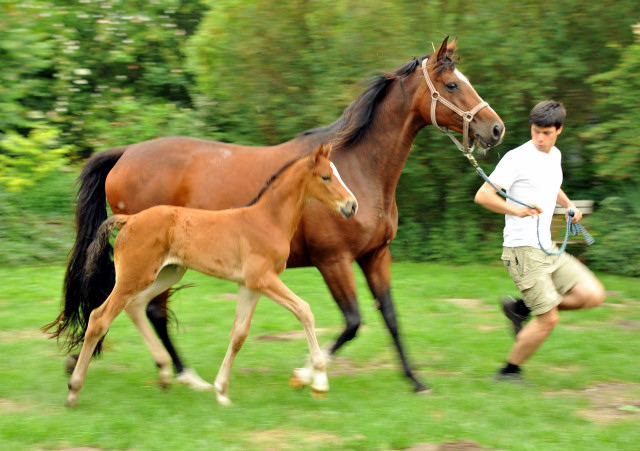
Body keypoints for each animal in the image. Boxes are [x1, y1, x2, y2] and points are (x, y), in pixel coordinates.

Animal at [67, 143, 358, 408]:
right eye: (326, 177)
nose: (352, 206)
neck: (267, 220)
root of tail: (130, 219)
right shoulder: (263, 279)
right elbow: (304, 310)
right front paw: (319, 382)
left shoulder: (249, 286)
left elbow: (238, 335)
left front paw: (221, 391)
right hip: (134, 276)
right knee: (100, 317)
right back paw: (74, 389)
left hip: (166, 274)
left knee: (135, 306)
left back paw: (164, 372)